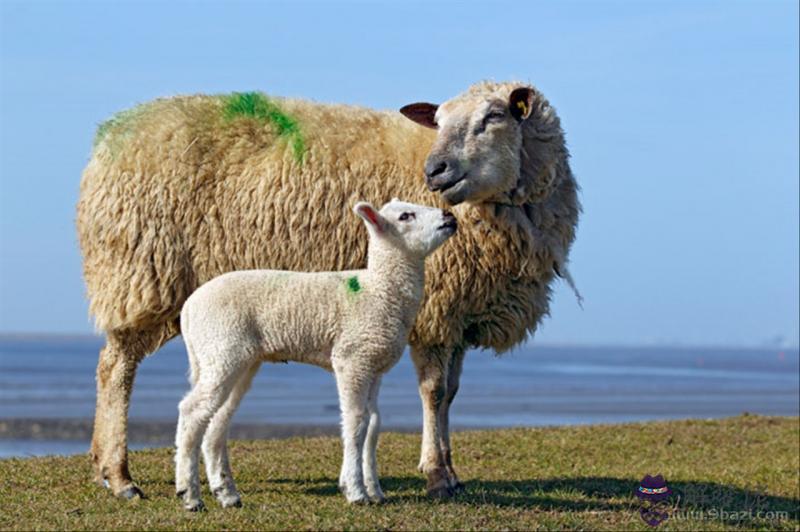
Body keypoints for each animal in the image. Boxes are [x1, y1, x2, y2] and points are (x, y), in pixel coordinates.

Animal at [174, 197, 456, 510]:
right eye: (406, 216)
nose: (449, 216)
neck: (377, 291)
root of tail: (189, 309)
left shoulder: (374, 364)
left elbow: (373, 424)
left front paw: (375, 491)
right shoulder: (352, 358)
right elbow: (356, 422)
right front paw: (355, 490)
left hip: (235, 359)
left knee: (217, 420)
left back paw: (226, 493)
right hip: (222, 347)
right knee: (192, 411)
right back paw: (189, 495)